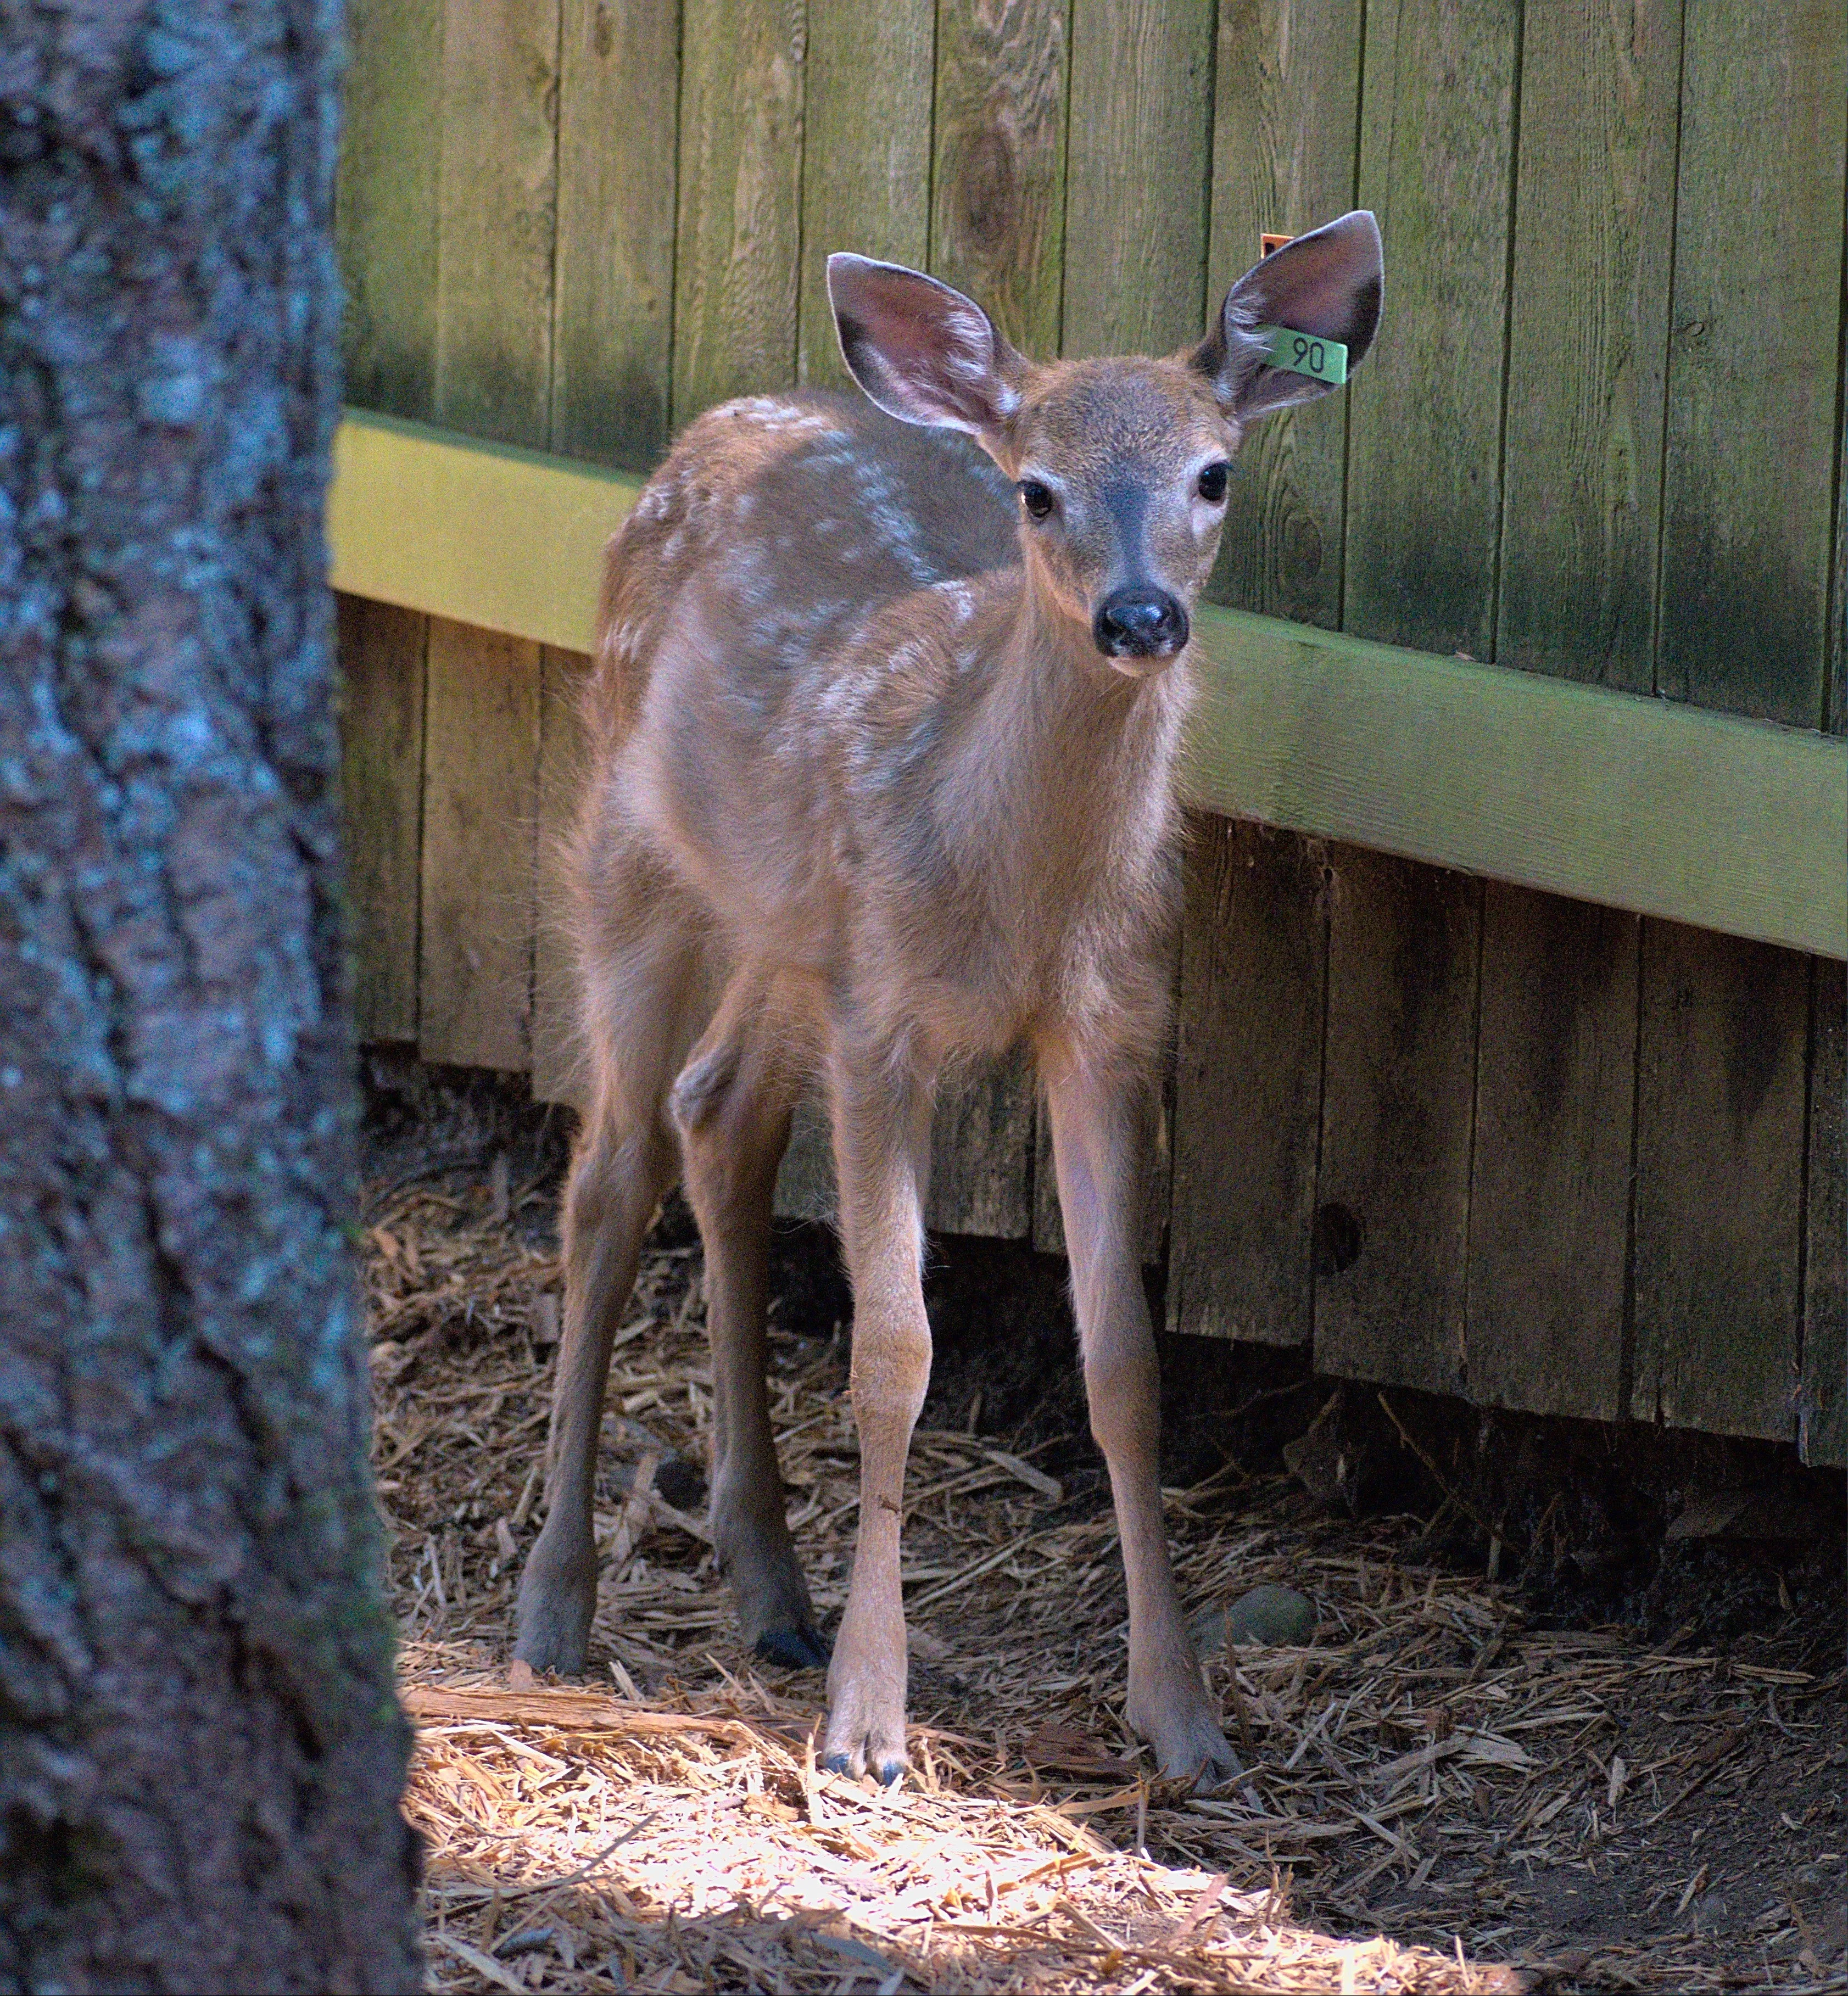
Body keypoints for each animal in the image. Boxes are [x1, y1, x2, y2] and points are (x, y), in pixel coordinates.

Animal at [515, 210, 1381, 1788]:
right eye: (1034, 491)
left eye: (1212, 473)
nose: (1138, 615)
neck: (1017, 894)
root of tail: (712, 426)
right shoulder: (884, 1028)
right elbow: (892, 1348)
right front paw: (869, 1725)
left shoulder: (1107, 1022)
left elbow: (1123, 1358)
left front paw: (1183, 1719)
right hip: (628, 844)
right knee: (608, 1174)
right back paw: (554, 1605)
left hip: (795, 930)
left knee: (714, 1116)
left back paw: (770, 1585)